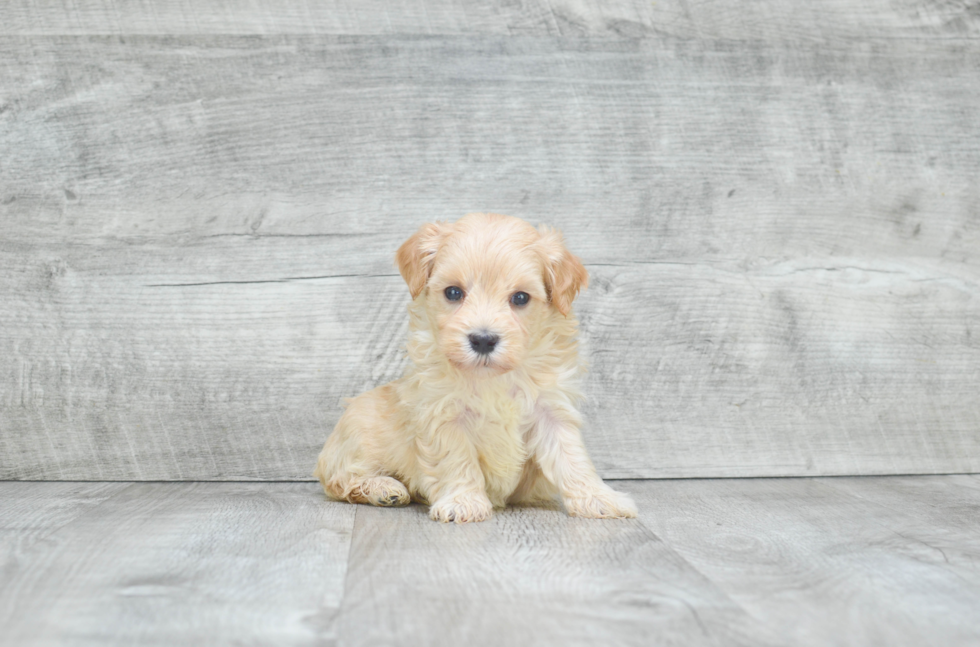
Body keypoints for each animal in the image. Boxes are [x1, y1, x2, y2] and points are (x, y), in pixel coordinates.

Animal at [310, 215, 640, 524]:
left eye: (521, 297)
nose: (483, 339)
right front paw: (463, 502)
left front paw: (598, 498)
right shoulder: (444, 414)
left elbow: (572, 457)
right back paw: (383, 488)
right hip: (359, 435)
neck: (492, 378)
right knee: (340, 481)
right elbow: (456, 460)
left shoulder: (552, 409)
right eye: (454, 293)